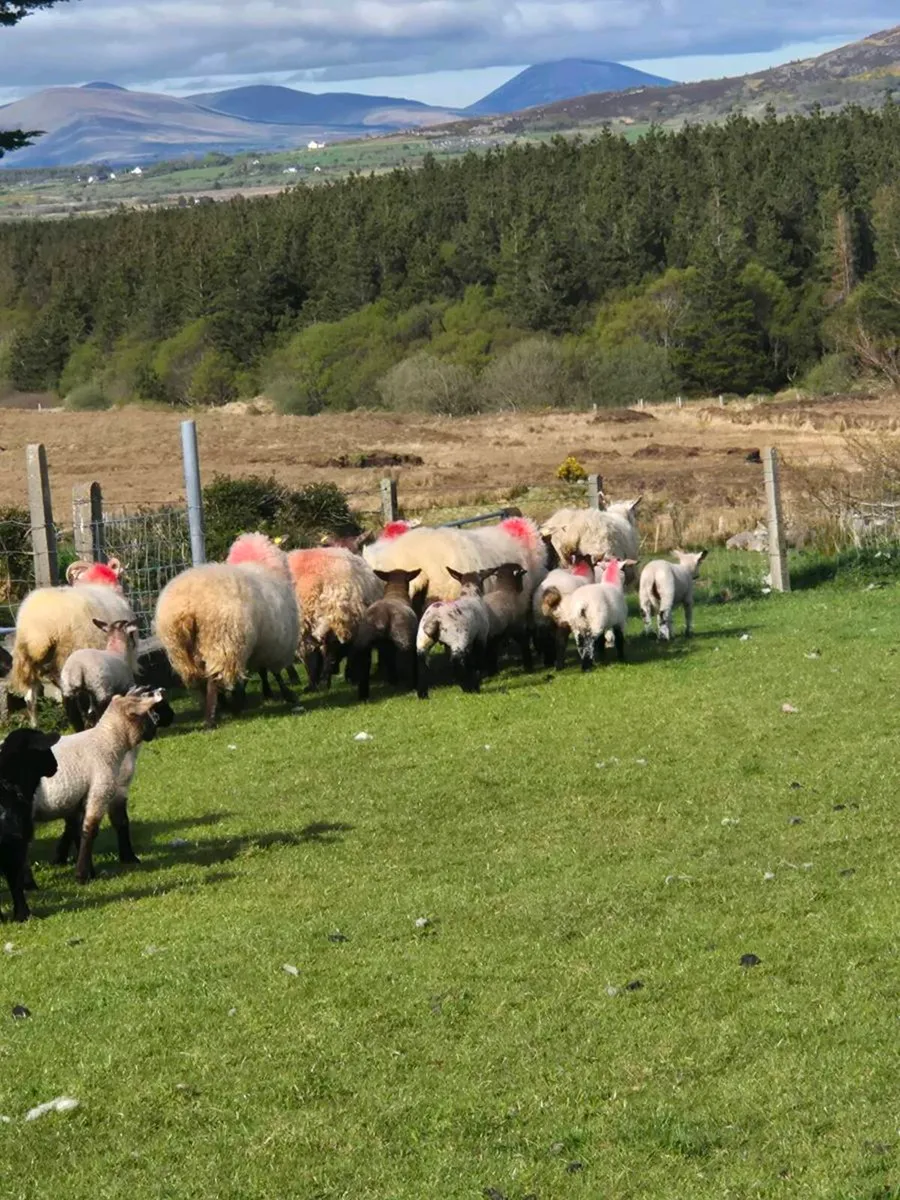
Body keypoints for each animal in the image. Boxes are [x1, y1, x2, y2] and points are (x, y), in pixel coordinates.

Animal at [10, 558, 135, 726]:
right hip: (69, 654)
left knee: (30, 697)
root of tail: (40, 628)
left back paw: (35, 724)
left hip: (27, 659)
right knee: (71, 696)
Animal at [32, 686, 172, 884]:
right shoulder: (101, 790)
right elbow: (90, 830)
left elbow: (79, 830)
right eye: (154, 705)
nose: (171, 717)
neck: (105, 740)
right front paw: (83, 874)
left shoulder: (81, 797)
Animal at [155, 532, 299, 728]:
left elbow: (259, 672)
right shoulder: (273, 644)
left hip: (181, 649)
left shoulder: (259, 643)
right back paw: (213, 717)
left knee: (200, 680)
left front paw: (262, 694)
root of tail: (187, 606)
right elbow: (273, 673)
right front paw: (286, 694)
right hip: (223, 640)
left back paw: (221, 708)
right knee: (214, 680)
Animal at [349, 568, 422, 700]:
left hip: (363, 644)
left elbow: (390, 661)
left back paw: (363, 696)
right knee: (410, 659)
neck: (395, 593)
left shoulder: (387, 647)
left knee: (364, 666)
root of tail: (382, 617)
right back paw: (413, 686)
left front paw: (393, 681)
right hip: (404, 638)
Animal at [416, 568, 492, 698]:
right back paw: (468, 689)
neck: (470, 595)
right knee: (456, 662)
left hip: (422, 640)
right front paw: (476, 684)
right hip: (458, 639)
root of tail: (434, 618)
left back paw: (423, 695)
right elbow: (477, 662)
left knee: (422, 664)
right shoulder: (481, 637)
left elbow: (469, 662)